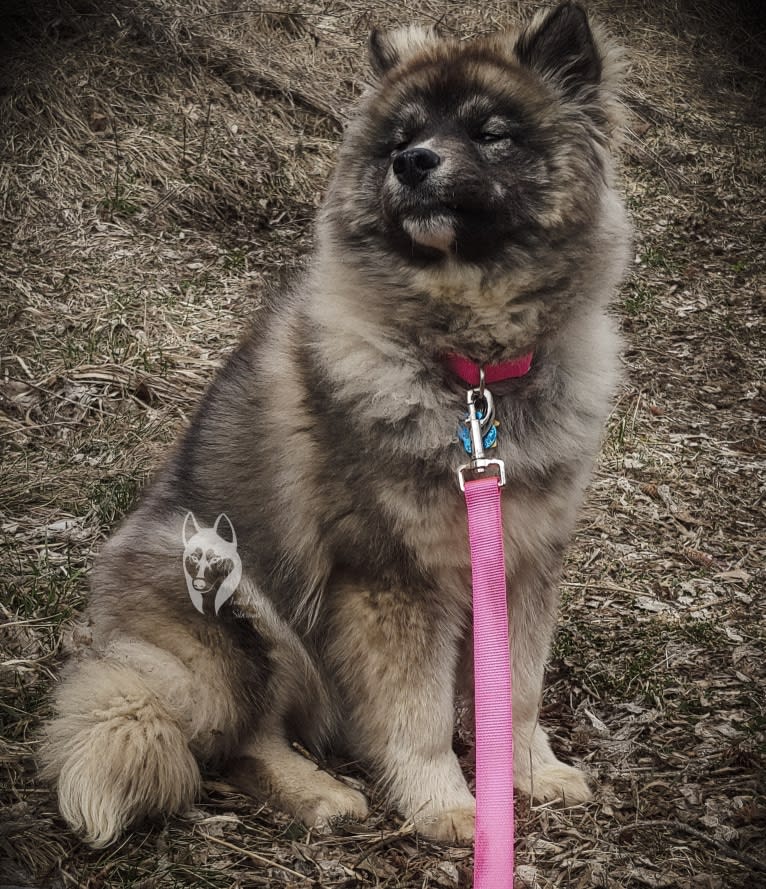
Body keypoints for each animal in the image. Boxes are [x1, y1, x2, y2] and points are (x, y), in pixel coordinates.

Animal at [39, 0, 632, 848]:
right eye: (401, 137)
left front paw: (527, 771)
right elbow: (417, 716)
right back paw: (316, 789)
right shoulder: (392, 579)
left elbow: (515, 688)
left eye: (492, 132)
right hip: (236, 603)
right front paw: (447, 803)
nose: (413, 162)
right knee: (244, 739)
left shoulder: (522, 564)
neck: (473, 369)